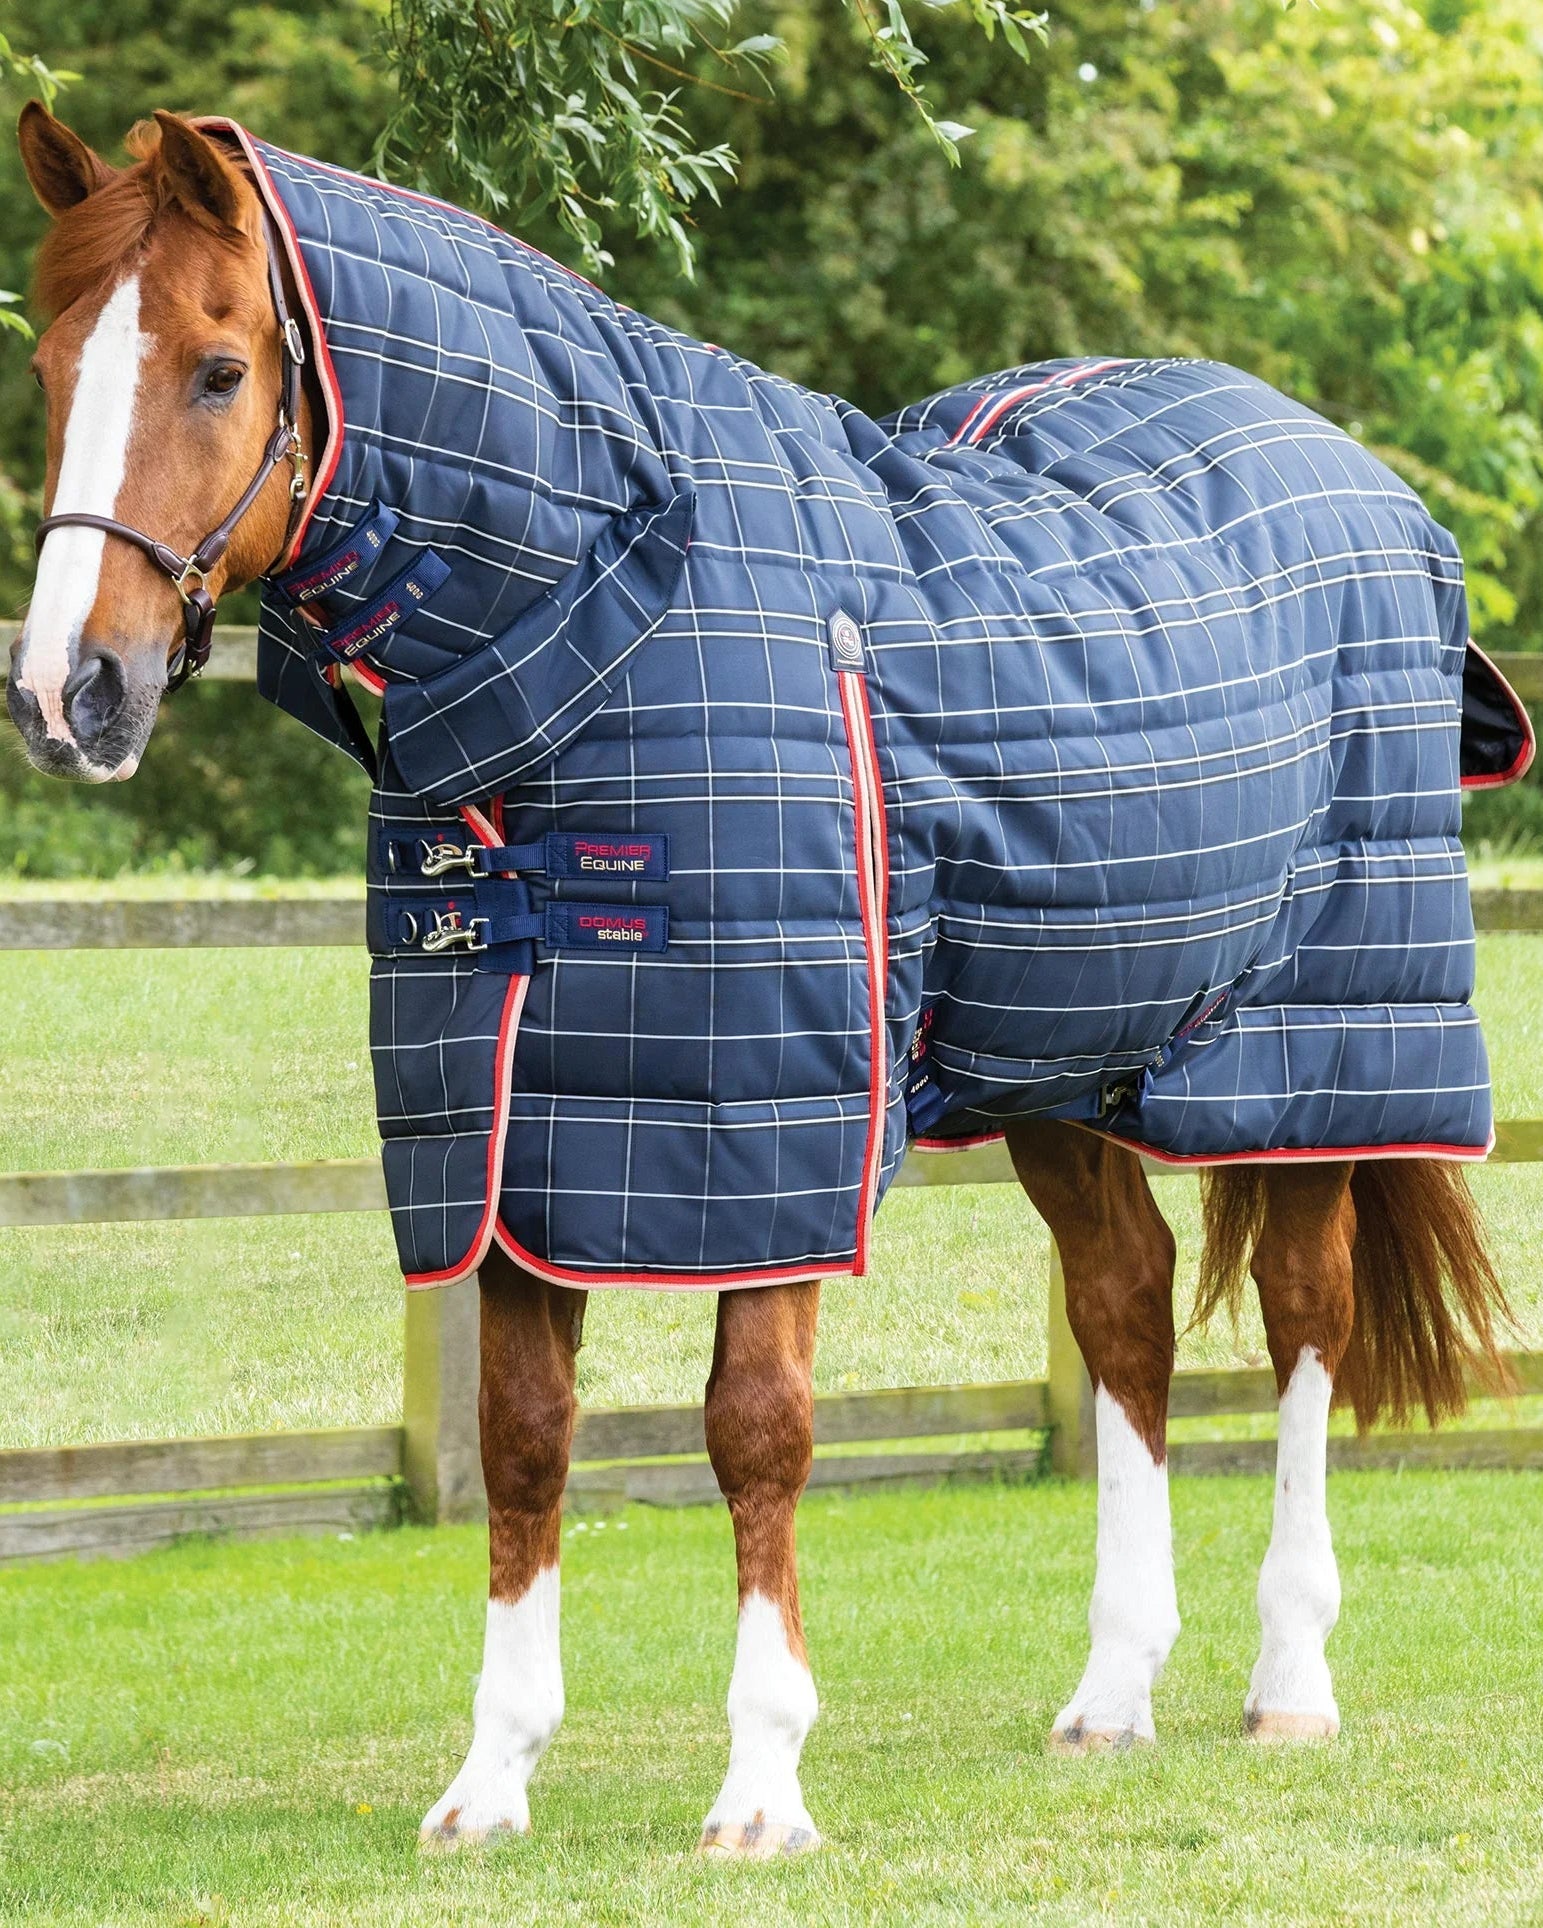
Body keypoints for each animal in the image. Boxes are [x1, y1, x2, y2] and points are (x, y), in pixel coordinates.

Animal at [10, 104, 1518, 1857]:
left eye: (217, 369)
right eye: (51, 362)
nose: (66, 693)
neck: (602, 616)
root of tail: (1369, 491)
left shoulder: (769, 1129)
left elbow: (754, 1431)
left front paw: (758, 1787)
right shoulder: (519, 1120)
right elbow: (521, 1438)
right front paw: (488, 1782)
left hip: (1319, 1047)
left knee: (1299, 1321)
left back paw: (1287, 1685)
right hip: (1056, 1062)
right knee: (1124, 1309)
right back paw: (1111, 1694)